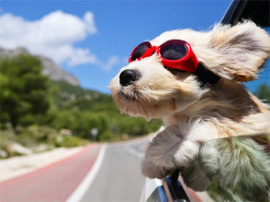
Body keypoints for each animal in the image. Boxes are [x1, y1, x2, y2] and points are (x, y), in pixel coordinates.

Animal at [109, 21, 270, 201]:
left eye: (172, 63)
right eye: (138, 55)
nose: (126, 75)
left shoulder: (250, 123)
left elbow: (207, 126)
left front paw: (156, 155)